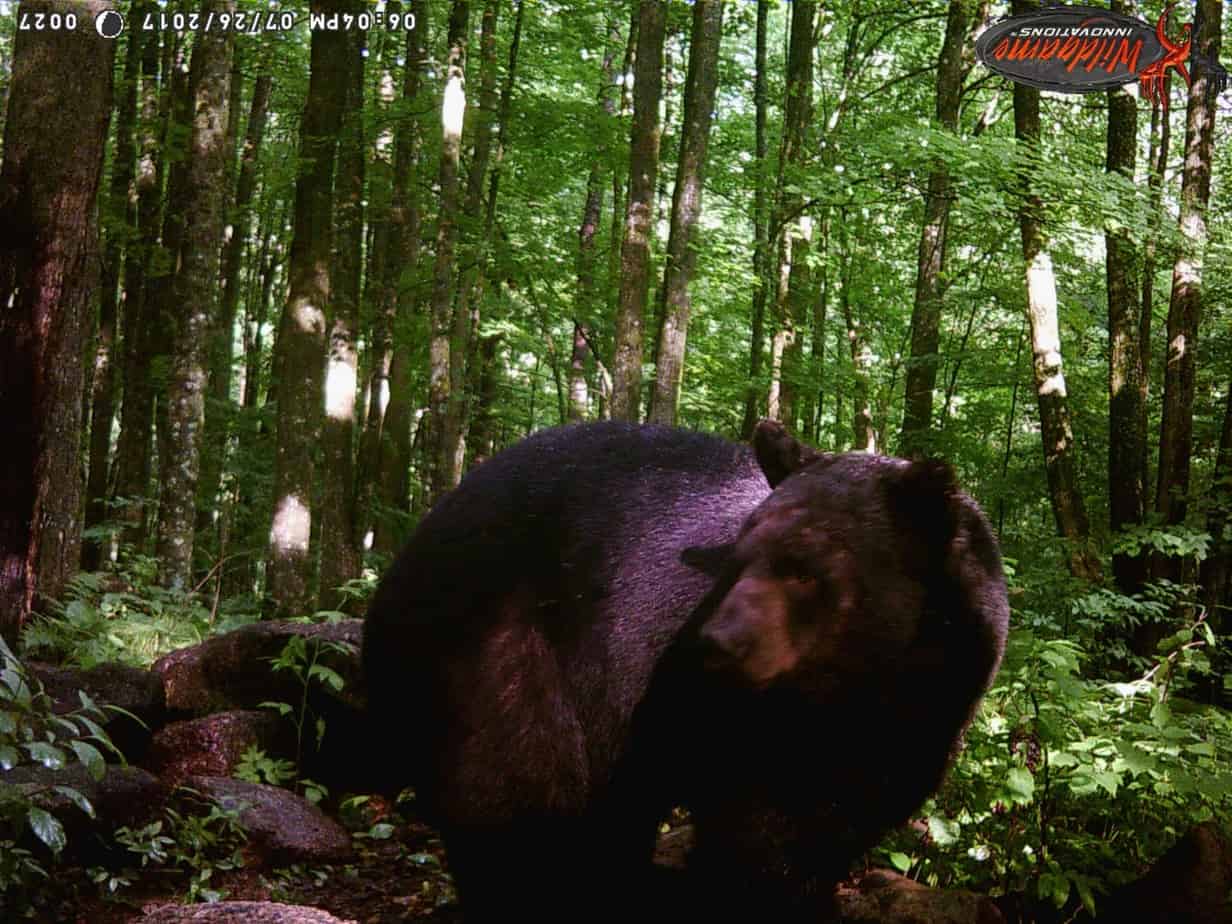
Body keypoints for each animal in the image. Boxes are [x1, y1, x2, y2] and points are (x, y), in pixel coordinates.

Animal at [361, 420, 1009, 921]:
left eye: (806, 570)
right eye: (739, 557)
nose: (716, 643)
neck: (861, 686)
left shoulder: (916, 725)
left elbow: (834, 827)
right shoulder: (732, 720)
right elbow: (758, 837)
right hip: (502, 646)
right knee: (515, 797)